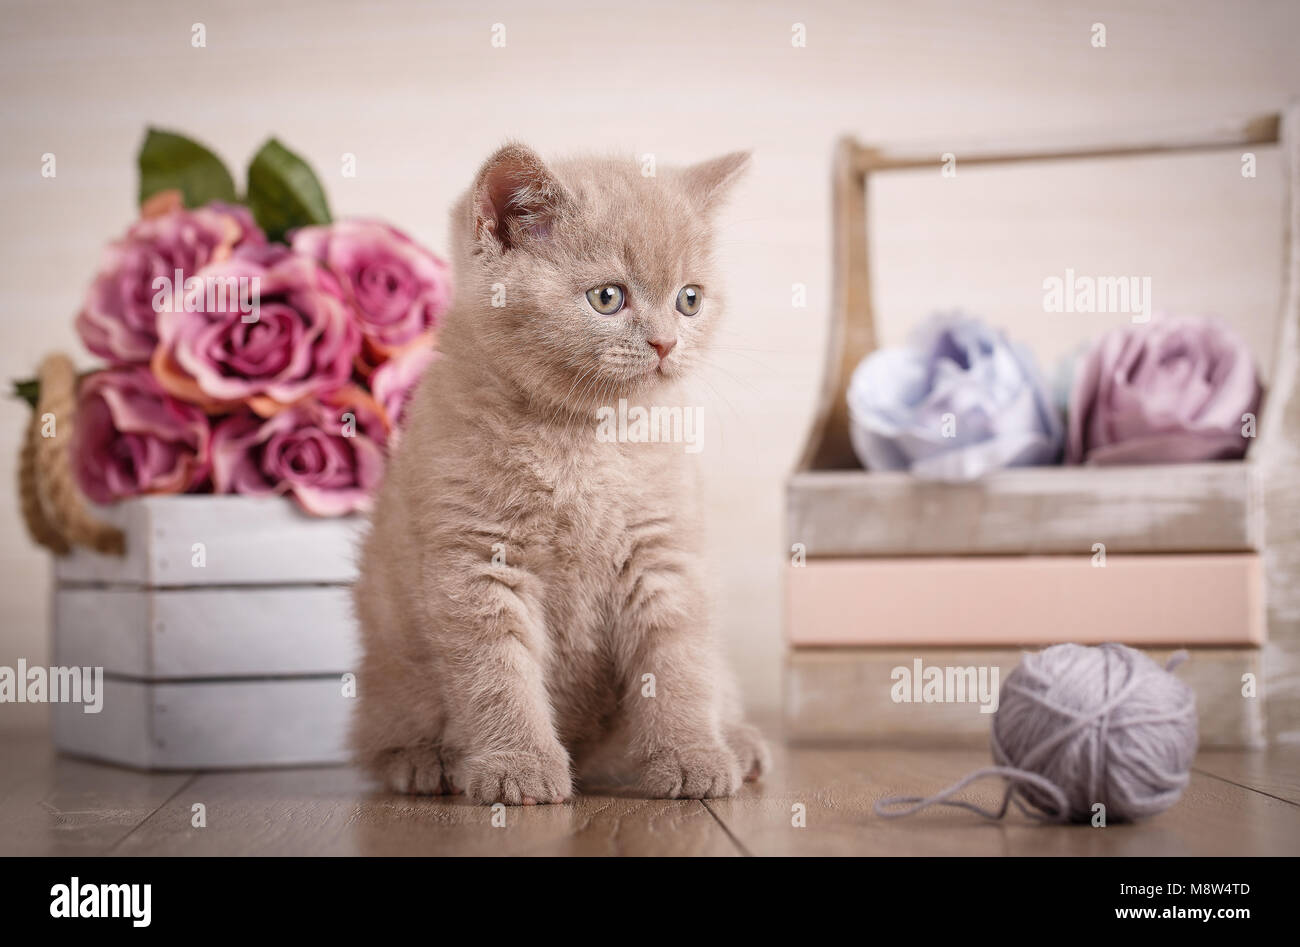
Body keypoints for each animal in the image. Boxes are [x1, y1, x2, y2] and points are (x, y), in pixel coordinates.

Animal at [351, 142, 764, 806]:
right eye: (608, 298)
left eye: (690, 299)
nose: (666, 343)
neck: (583, 440)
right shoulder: (477, 560)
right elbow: (496, 673)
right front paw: (516, 766)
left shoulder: (664, 552)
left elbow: (678, 661)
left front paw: (691, 755)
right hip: (389, 668)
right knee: (378, 735)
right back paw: (423, 762)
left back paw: (739, 741)